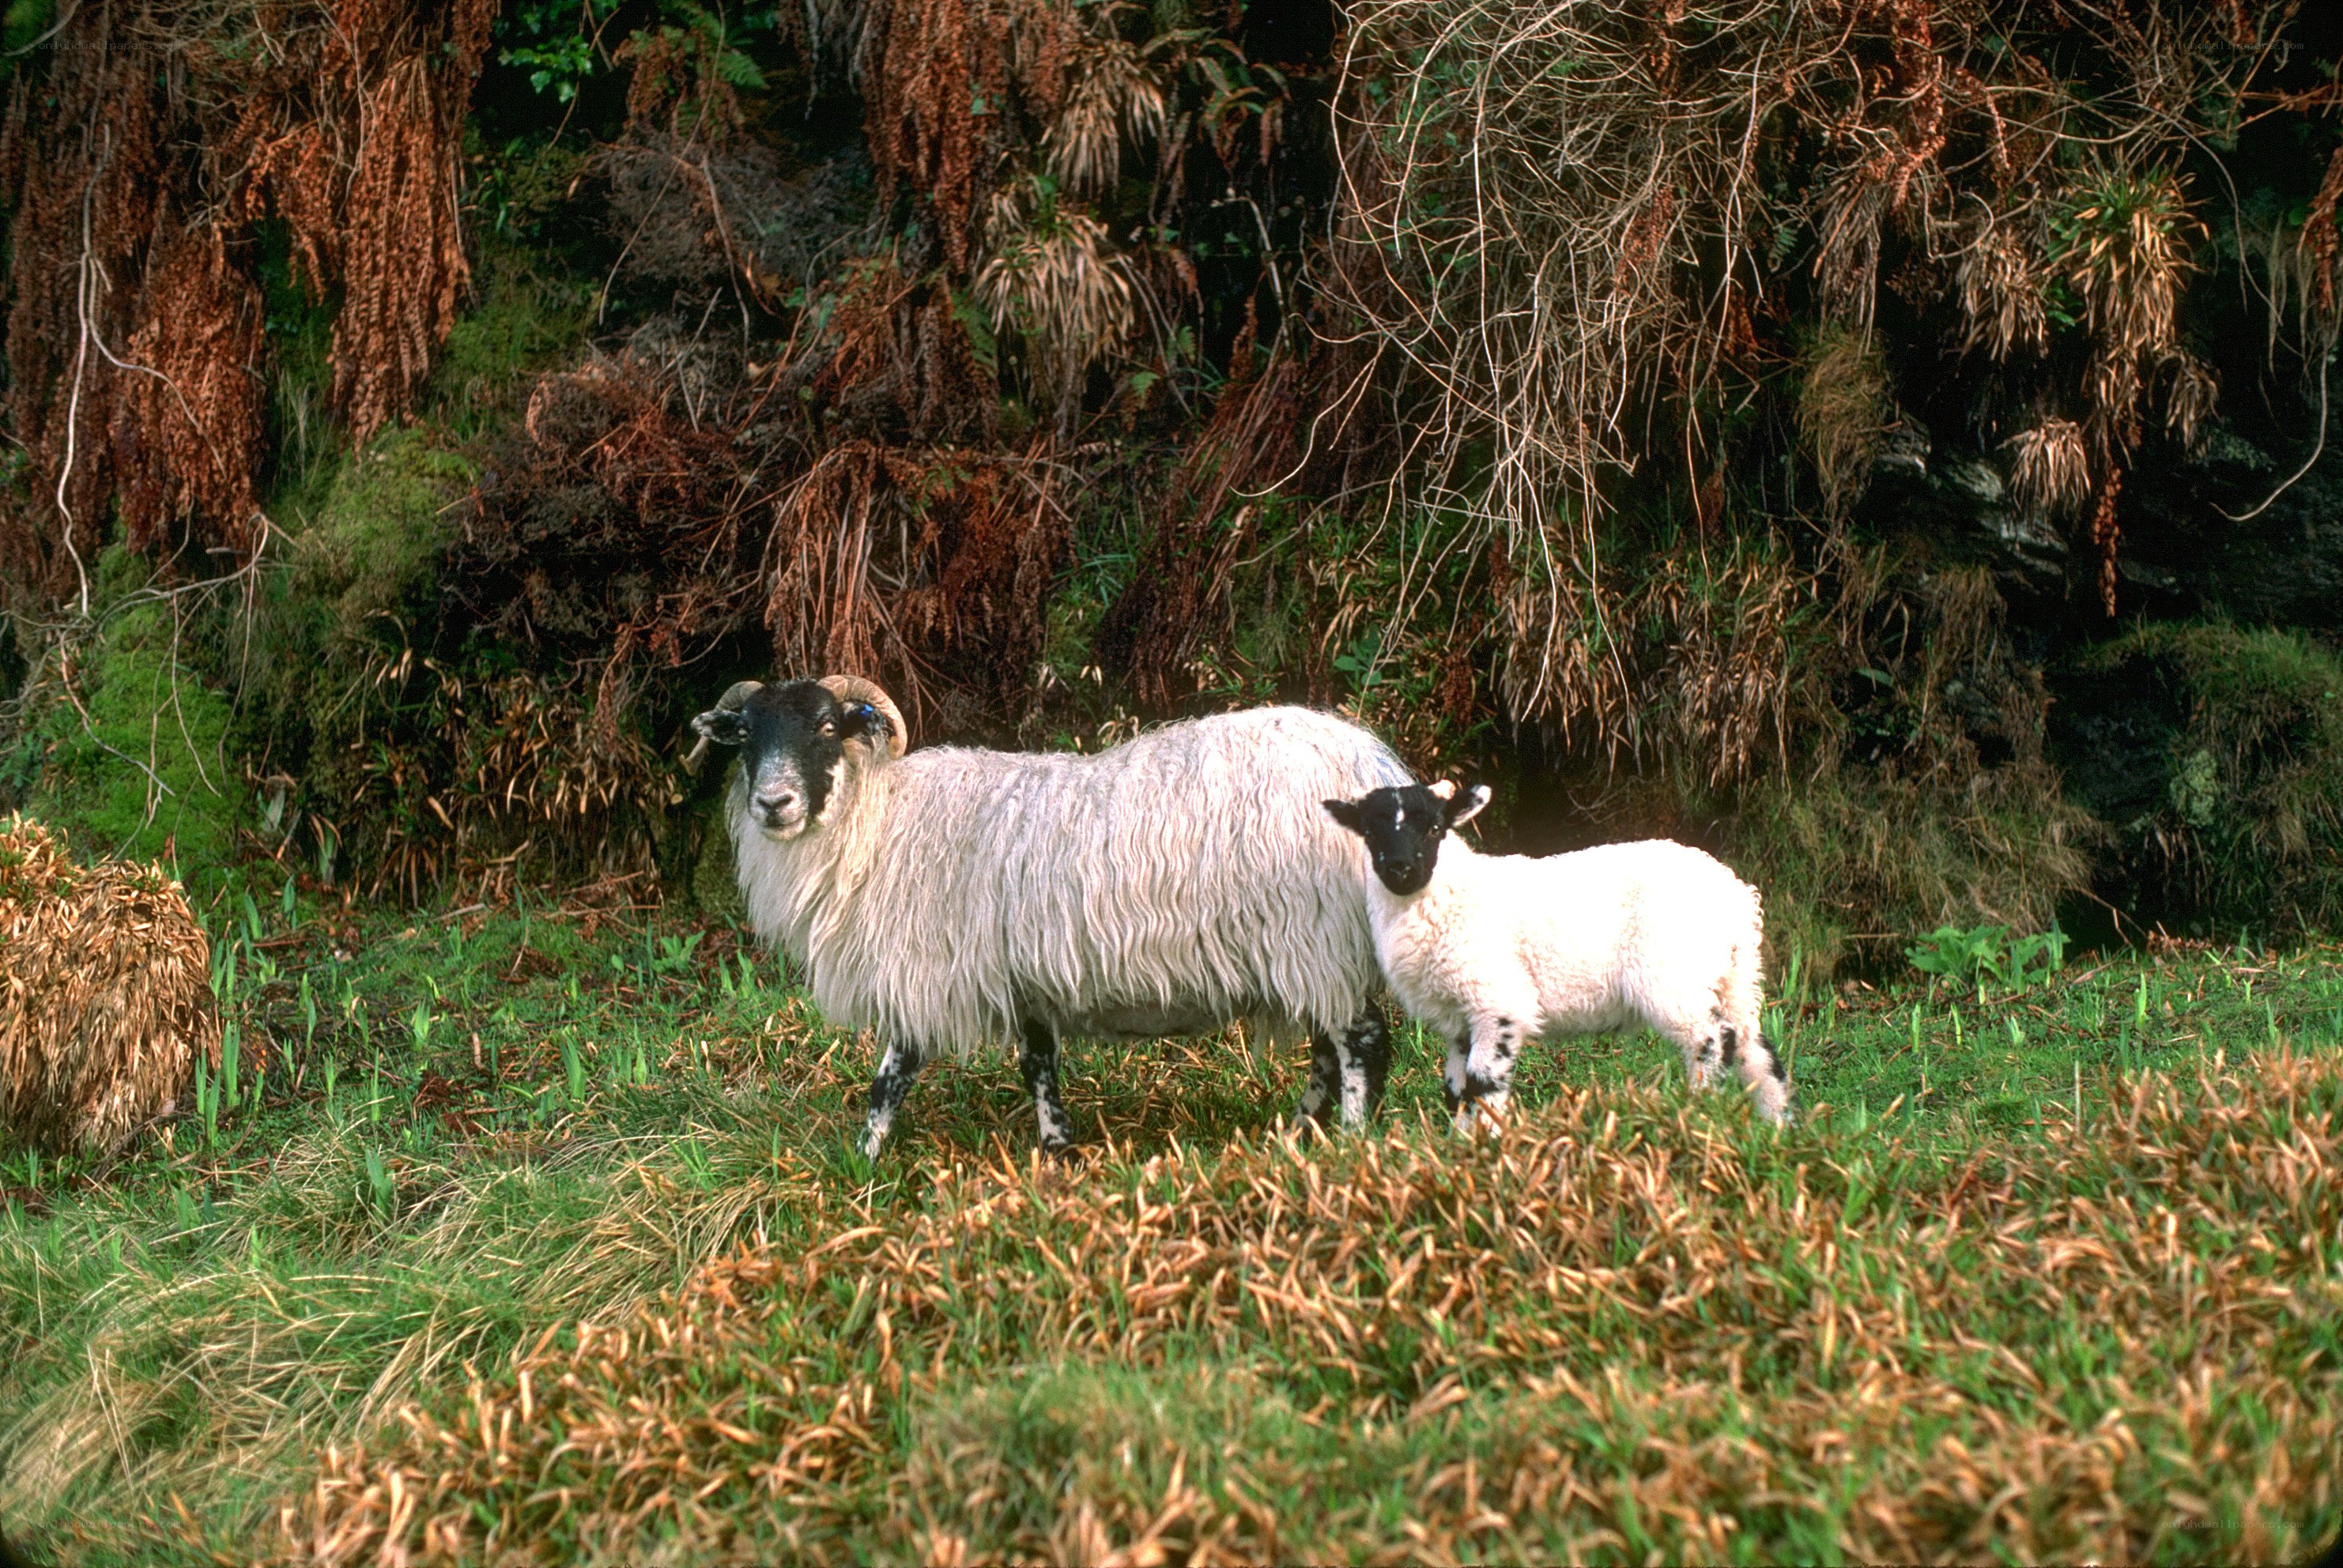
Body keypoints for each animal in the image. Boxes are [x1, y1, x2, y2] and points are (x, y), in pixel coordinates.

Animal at [690, 675, 1414, 1156]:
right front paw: (1057, 1150)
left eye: (826, 728)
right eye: (746, 734)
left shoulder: (923, 969)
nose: (773, 804)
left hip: (1314, 935)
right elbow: (1039, 1065)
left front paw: (863, 1167)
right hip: (1310, 950)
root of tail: (1372, 762)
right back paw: (1293, 1138)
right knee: (1327, 1050)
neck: (877, 822)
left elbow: (890, 1079)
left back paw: (1349, 1145)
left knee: (1361, 1043)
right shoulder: (1024, 978)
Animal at [1322, 780, 1792, 1130]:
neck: (1450, 894)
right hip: (1732, 974)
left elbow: (1483, 1083)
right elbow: (1456, 1089)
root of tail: (1735, 895)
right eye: (1369, 832)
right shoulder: (1461, 1016)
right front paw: (1458, 1149)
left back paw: (1698, 1111)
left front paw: (1485, 1150)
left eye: (1435, 828)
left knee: (1711, 1040)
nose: (1400, 869)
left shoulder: (1497, 1002)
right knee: (1754, 1048)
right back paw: (1778, 1128)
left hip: (1671, 973)